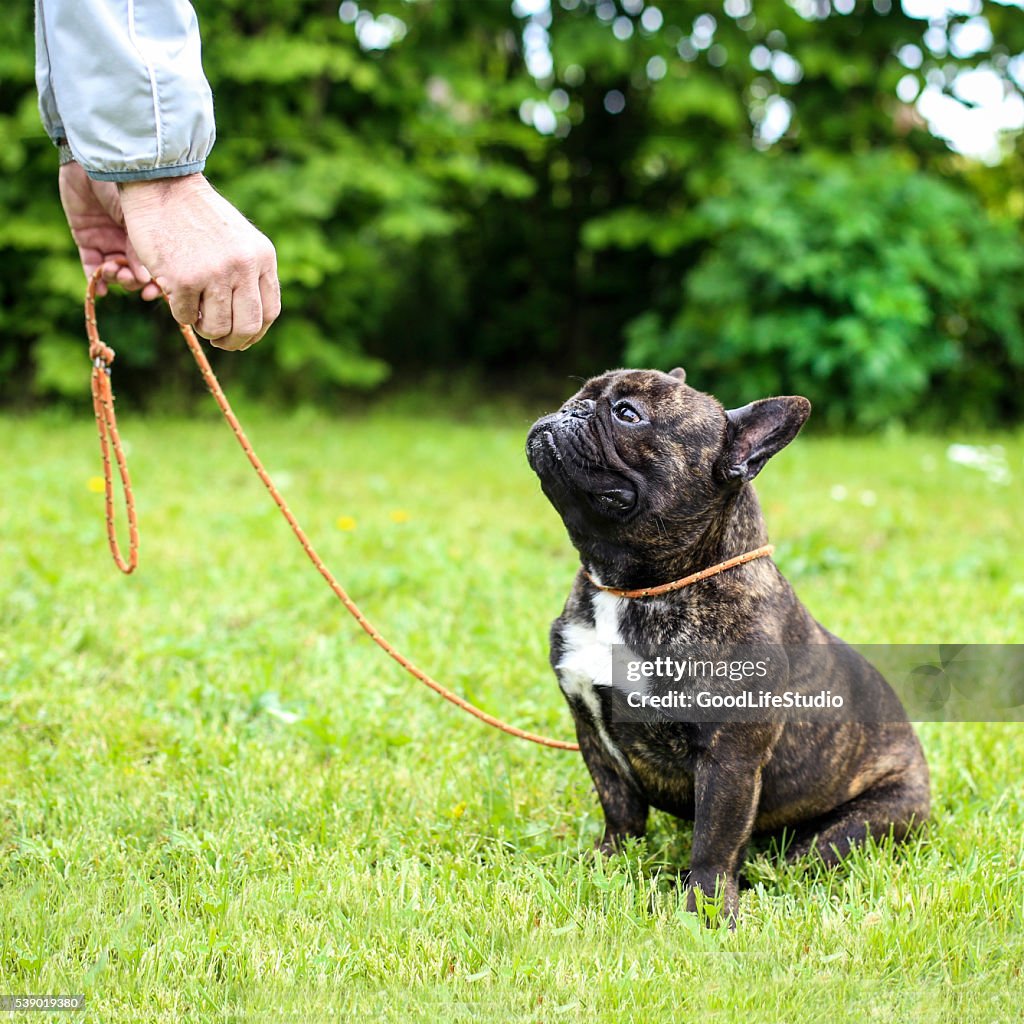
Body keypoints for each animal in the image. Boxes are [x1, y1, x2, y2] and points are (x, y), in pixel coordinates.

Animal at [528, 370, 929, 929]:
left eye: (628, 414)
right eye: (583, 392)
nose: (573, 410)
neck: (632, 591)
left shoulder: (730, 760)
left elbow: (715, 844)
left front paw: (707, 912)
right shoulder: (591, 730)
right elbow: (620, 810)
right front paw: (607, 863)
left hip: (865, 820)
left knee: (803, 855)